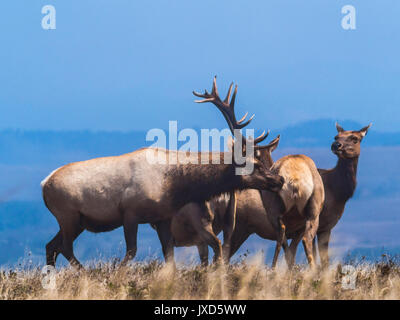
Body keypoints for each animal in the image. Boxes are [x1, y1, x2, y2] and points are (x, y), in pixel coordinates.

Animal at [41, 77, 284, 268]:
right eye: (256, 164)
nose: (279, 179)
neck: (175, 186)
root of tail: (44, 184)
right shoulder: (130, 212)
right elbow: (131, 252)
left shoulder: (163, 218)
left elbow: (169, 258)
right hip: (68, 215)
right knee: (65, 247)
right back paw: (85, 273)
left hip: (76, 221)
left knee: (51, 245)